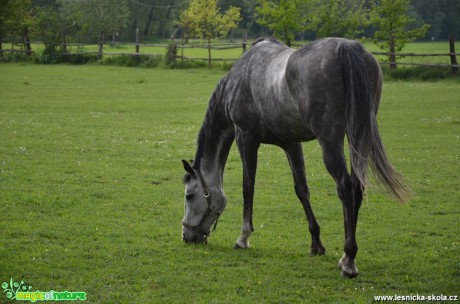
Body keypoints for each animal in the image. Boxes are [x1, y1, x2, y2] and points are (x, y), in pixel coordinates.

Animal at [181, 37, 408, 278]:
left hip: (330, 140)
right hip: (359, 137)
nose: (186, 236)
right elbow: (302, 190)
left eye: (189, 196)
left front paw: (244, 237)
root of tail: (345, 47)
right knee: (357, 188)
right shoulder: (291, 144)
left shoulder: (246, 138)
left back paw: (349, 261)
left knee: (345, 188)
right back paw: (344, 257)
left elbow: (248, 186)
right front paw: (316, 243)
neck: (237, 81)